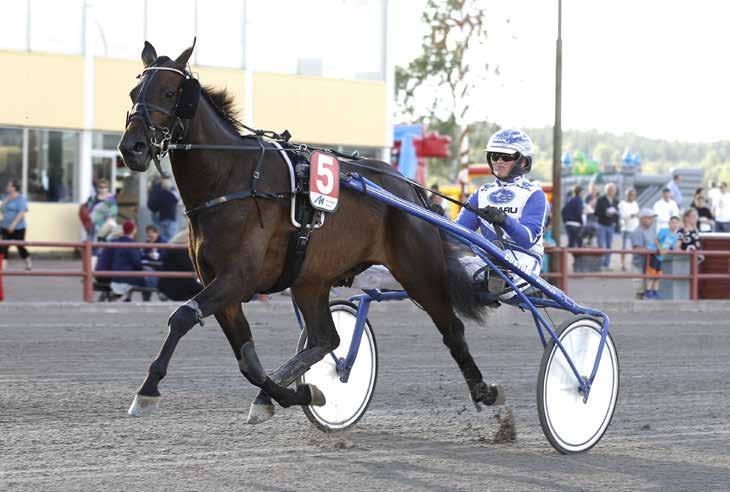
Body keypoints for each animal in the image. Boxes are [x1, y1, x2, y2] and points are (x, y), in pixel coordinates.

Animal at [119, 42, 504, 424]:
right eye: (134, 93)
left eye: (170, 93)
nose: (131, 148)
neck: (231, 179)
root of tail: (409, 189)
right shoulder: (221, 286)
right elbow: (247, 361)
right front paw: (297, 393)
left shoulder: (237, 278)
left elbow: (183, 316)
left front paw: (147, 390)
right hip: (311, 280)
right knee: (326, 340)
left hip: (419, 272)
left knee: (452, 328)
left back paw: (483, 390)